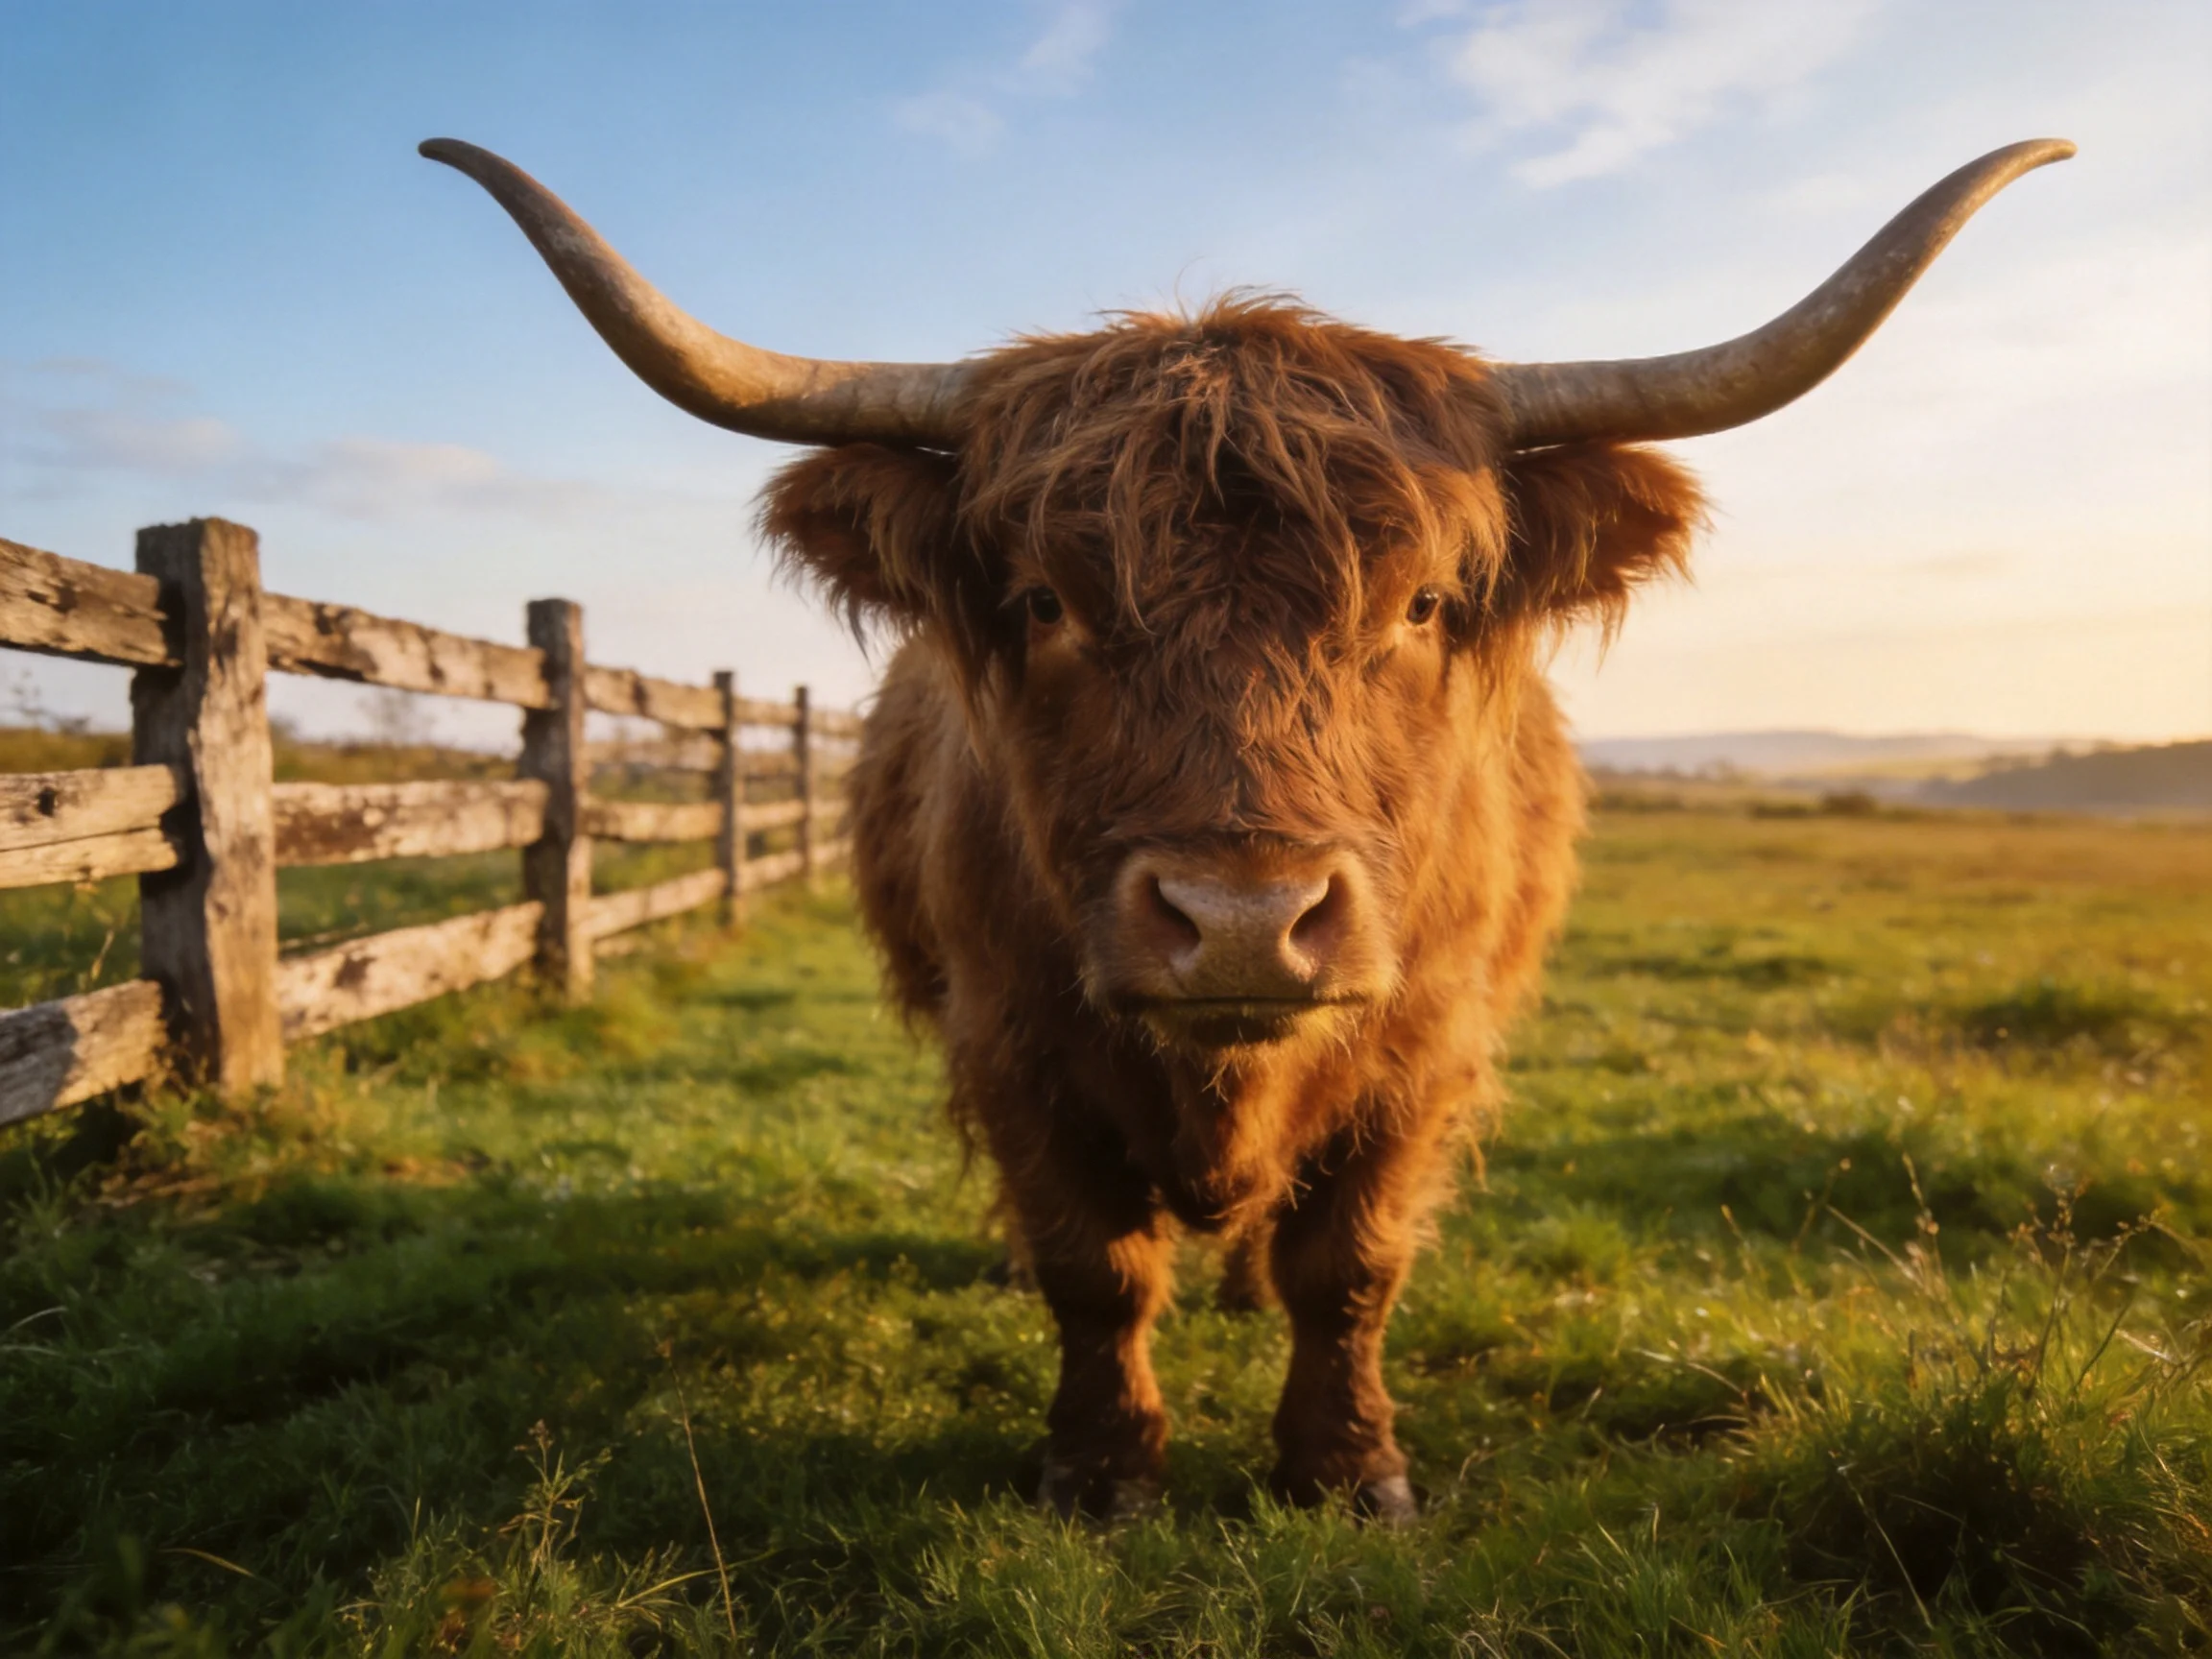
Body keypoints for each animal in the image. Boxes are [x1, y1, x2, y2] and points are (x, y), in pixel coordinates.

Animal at [422, 136, 2072, 1522]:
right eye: (1045, 600)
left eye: (1423, 602)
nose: (1237, 922)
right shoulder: (1012, 1040)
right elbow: (1092, 1267)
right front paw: (1101, 1473)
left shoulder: (1427, 1043)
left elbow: (1350, 1266)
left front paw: (1346, 1471)